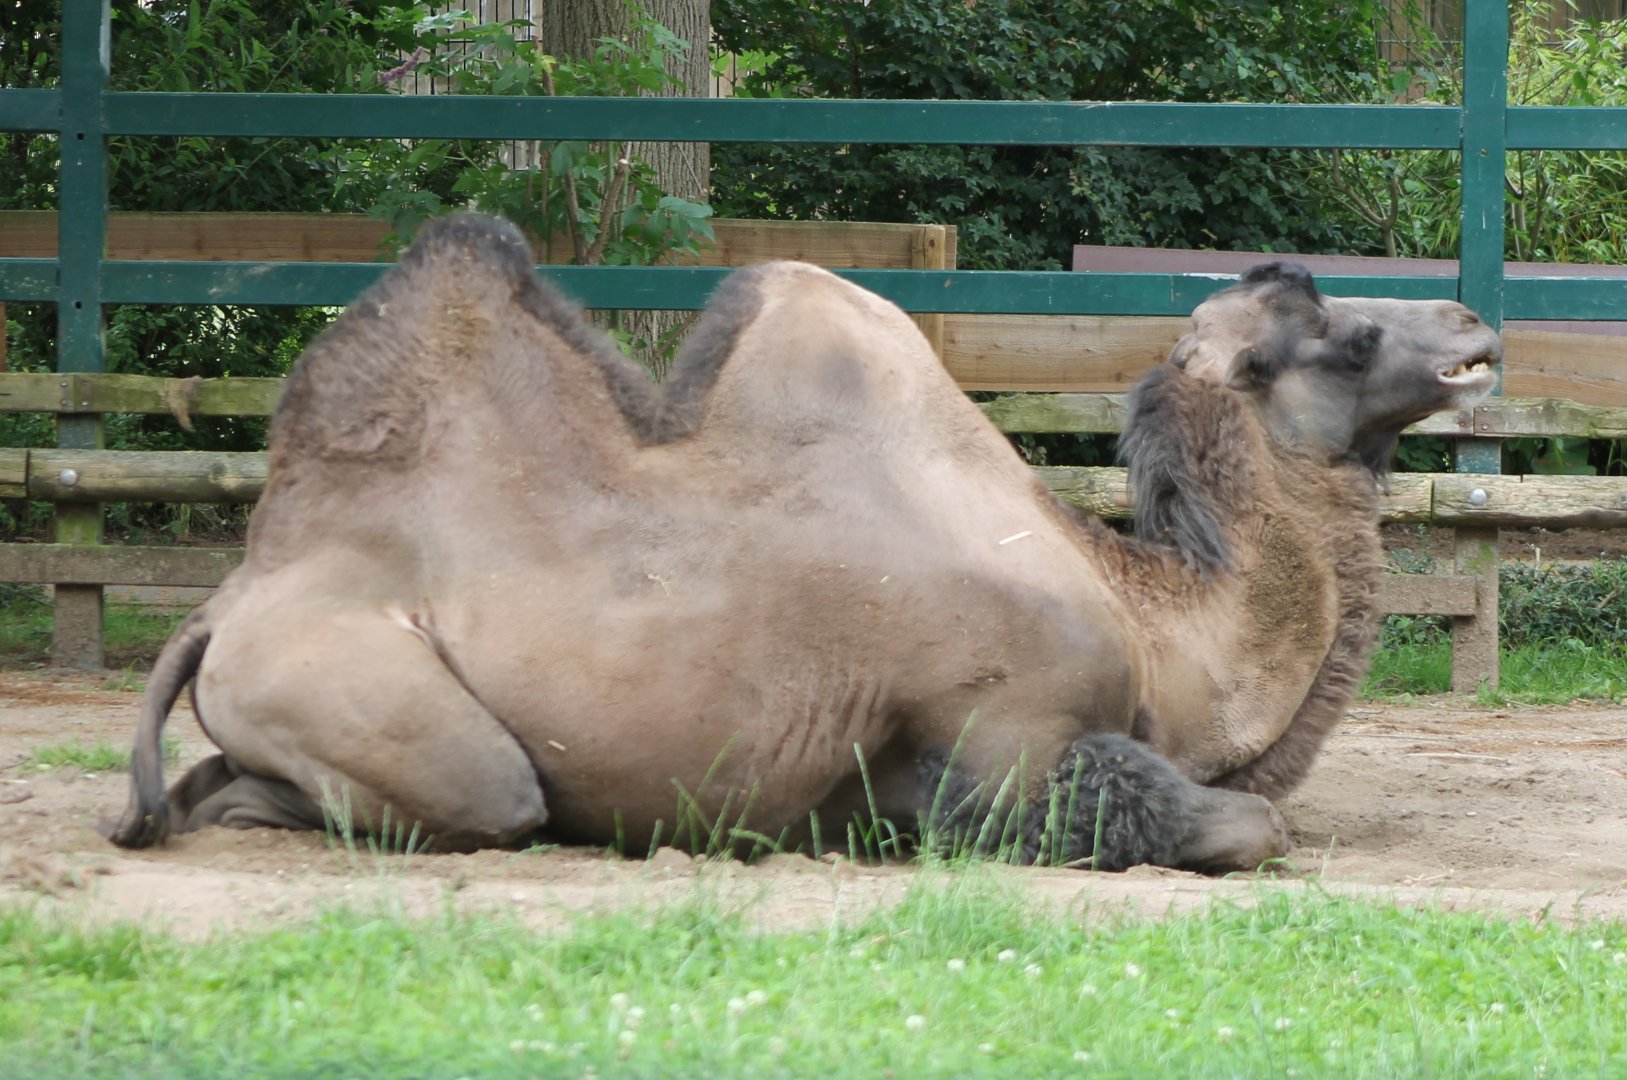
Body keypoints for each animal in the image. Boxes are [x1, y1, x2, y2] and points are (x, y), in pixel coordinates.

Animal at [111, 214, 1500, 871]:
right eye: (1341, 336)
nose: (1469, 319)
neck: (1160, 627)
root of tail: (226, 600)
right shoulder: (1007, 734)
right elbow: (1234, 824)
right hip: (391, 709)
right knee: (457, 795)